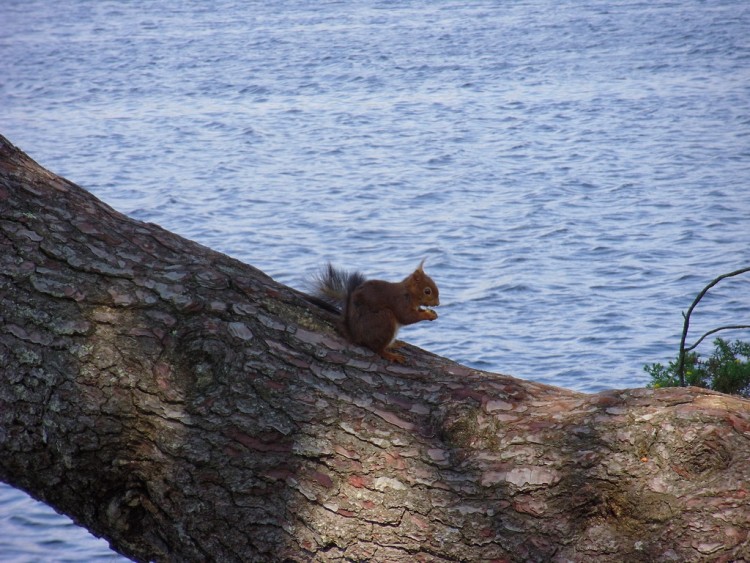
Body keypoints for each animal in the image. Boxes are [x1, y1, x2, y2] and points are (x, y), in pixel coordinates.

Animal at [312, 262, 440, 364]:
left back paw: (394, 344)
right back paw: (390, 355)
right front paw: (428, 315)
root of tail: (357, 336)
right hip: (384, 320)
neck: (409, 293)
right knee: (377, 349)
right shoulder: (400, 302)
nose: (438, 303)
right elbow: (407, 317)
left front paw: (431, 313)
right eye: (427, 291)